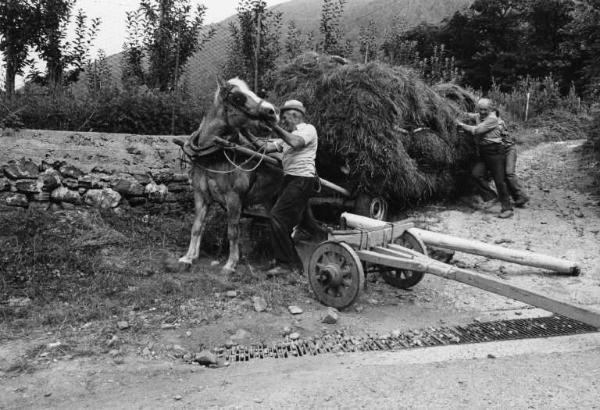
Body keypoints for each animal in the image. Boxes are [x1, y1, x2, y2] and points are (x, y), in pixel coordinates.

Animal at [177, 78, 282, 274]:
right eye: (237, 97)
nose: (273, 111)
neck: (211, 155)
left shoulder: (234, 198)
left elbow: (233, 231)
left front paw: (230, 264)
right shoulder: (200, 195)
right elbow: (197, 226)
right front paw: (188, 257)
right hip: (270, 198)